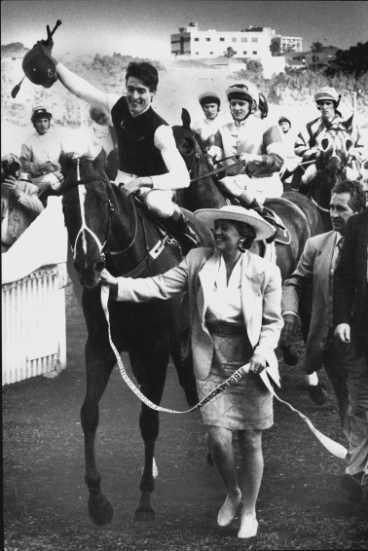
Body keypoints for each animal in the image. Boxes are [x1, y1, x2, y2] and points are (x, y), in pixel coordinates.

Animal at [56, 151, 213, 528]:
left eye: (102, 201)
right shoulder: (101, 346)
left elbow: (149, 421)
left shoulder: (155, 348)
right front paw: (97, 500)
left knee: (193, 388)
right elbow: (89, 413)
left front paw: (144, 499)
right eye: (66, 204)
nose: (88, 264)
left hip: (184, 342)